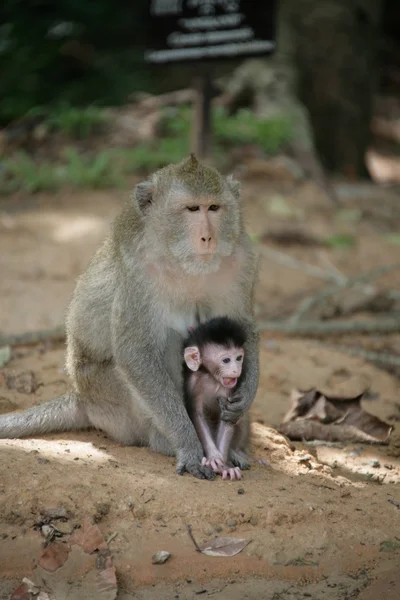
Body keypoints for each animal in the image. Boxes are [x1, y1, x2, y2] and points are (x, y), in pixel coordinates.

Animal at [182, 316, 250, 480]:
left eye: (239, 358)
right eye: (226, 360)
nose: (236, 370)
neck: (211, 377)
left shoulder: (229, 389)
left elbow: (227, 417)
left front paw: (224, 466)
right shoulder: (194, 382)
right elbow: (197, 414)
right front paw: (213, 457)